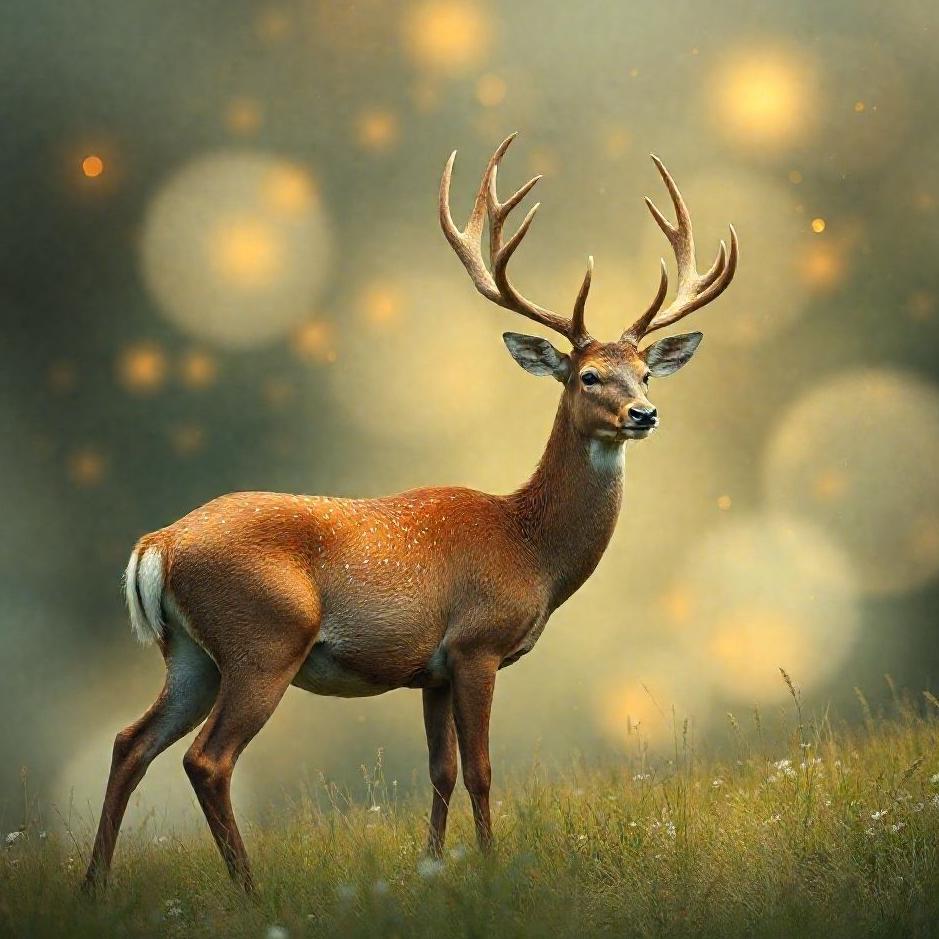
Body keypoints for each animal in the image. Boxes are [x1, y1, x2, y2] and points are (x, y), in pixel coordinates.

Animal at [83, 134, 737, 893]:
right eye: (587, 375)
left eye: (647, 372)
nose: (643, 413)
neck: (529, 547)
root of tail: (157, 544)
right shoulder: (476, 644)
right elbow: (481, 770)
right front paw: (489, 866)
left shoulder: (431, 669)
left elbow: (441, 771)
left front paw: (431, 866)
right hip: (262, 640)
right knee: (206, 759)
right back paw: (247, 888)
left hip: (190, 652)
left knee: (130, 741)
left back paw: (94, 885)